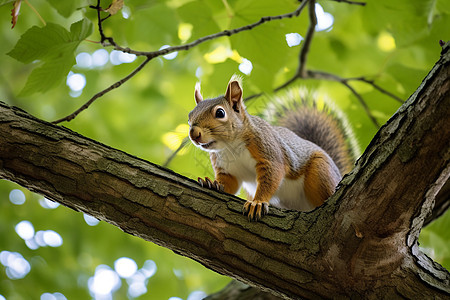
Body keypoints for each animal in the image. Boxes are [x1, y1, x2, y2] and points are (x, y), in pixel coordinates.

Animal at [188, 75, 356, 220]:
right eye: (189, 117)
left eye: (220, 113)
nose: (193, 133)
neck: (231, 147)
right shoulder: (228, 169)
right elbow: (229, 184)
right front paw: (213, 184)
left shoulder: (267, 150)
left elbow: (272, 175)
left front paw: (257, 203)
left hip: (321, 172)